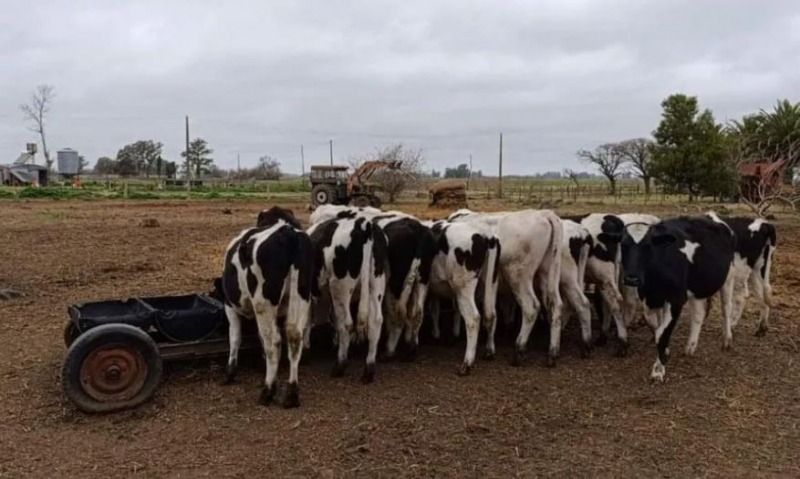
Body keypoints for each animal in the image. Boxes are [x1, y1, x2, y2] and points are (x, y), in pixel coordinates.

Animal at [223, 206, 318, 408]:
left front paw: (230, 372)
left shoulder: (229, 305)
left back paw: (268, 391)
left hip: (263, 304)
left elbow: (235, 337)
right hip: (300, 295)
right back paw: (291, 394)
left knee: (273, 342)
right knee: (294, 337)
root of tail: (288, 234)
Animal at [304, 215, 390, 386]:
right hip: (376, 283)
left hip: (340, 286)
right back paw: (368, 370)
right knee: (375, 322)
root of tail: (364, 224)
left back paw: (340, 365)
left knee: (346, 323)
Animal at [424, 220, 500, 376]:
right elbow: (434, 309)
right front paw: (436, 334)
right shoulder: (433, 288)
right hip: (491, 282)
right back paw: (489, 351)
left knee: (473, 318)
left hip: (463, 287)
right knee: (491, 314)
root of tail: (485, 234)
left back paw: (466, 364)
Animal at [446, 208, 564, 366]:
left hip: (517, 274)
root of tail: (544, 214)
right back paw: (553, 352)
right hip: (547, 272)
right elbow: (489, 312)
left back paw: (519, 350)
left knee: (531, 307)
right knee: (556, 305)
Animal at [620, 217, 736, 382]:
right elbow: (657, 328)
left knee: (726, 308)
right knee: (699, 314)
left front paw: (658, 370)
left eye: (648, 246)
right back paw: (691, 347)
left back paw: (727, 340)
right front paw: (665, 353)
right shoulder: (648, 298)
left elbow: (662, 334)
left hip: (728, 278)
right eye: (623, 245)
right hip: (697, 287)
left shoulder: (676, 299)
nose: (631, 278)